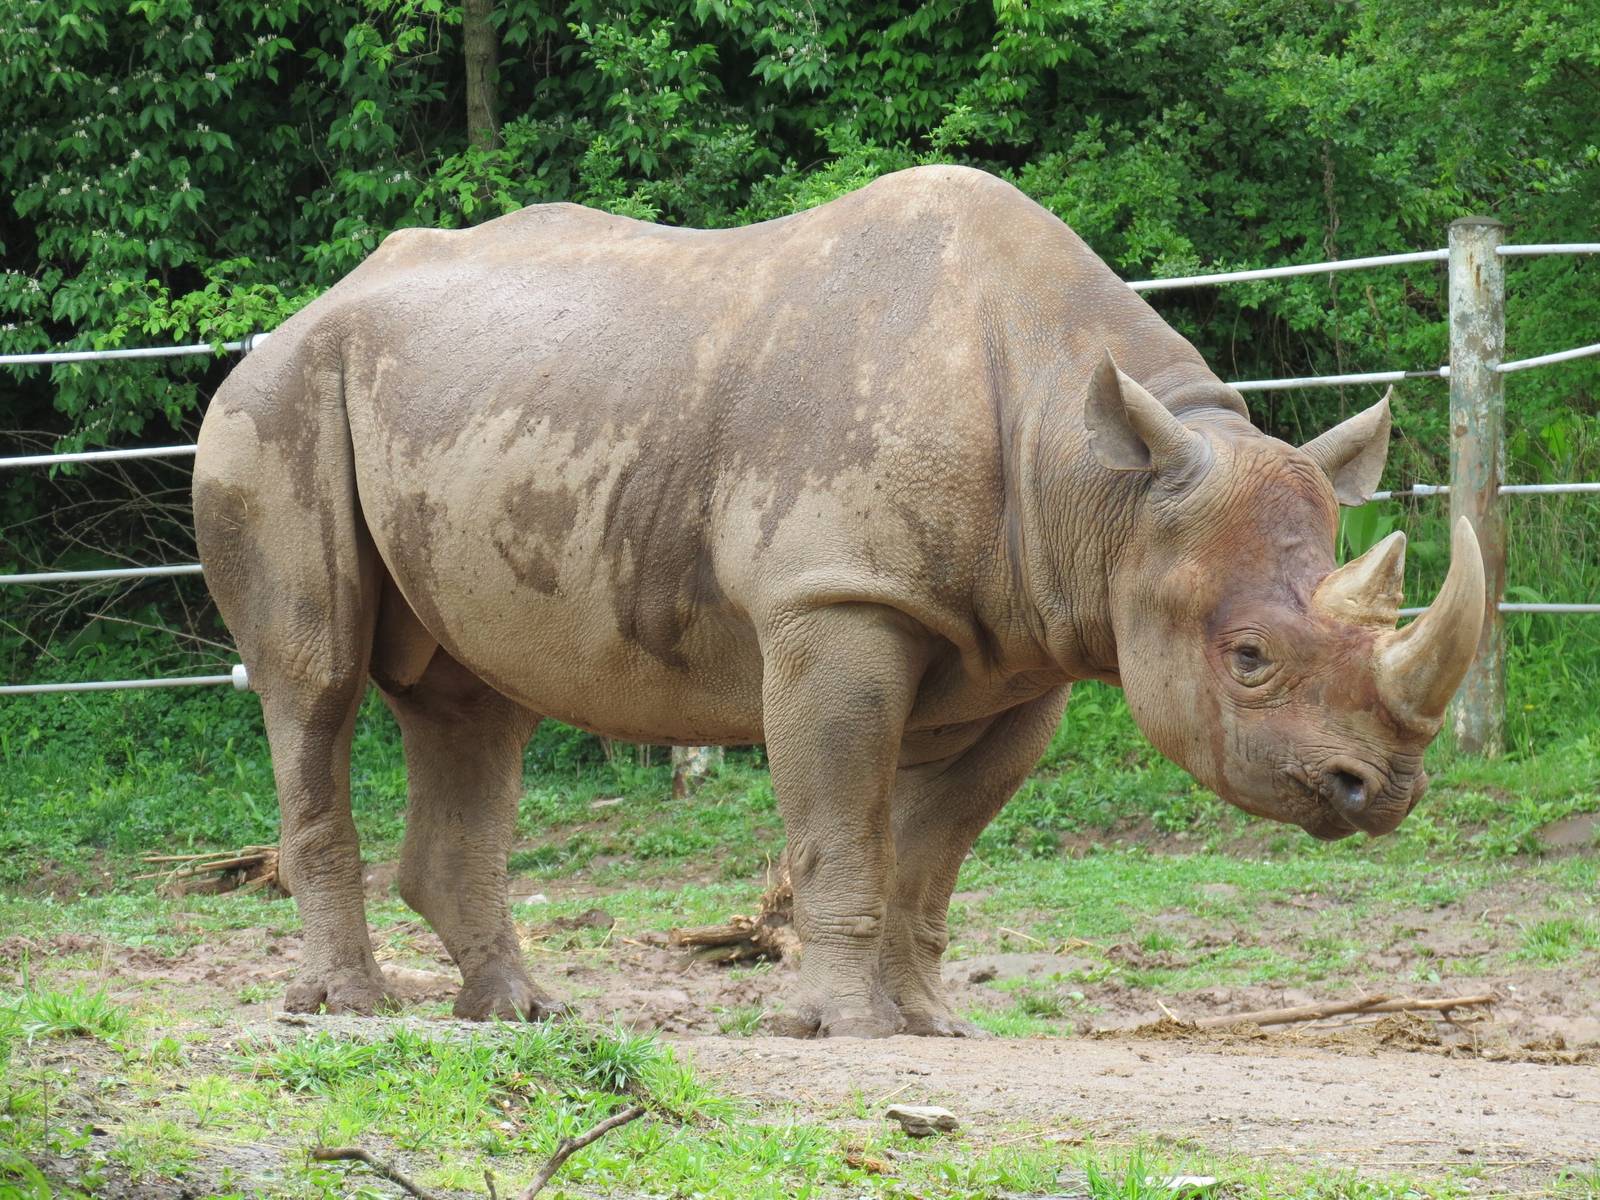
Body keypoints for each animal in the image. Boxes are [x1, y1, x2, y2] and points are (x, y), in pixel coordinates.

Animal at [194, 165, 1485, 1037]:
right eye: (1250, 658)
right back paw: (349, 1007)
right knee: (314, 683)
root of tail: (298, 315)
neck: (1103, 485)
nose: (1381, 791)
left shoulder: (1023, 646)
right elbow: (838, 822)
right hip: (274, 406)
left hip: (453, 406)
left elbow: (931, 849)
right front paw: (844, 1029)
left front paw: (931, 1024)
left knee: (472, 707)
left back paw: (521, 1012)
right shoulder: (836, 602)